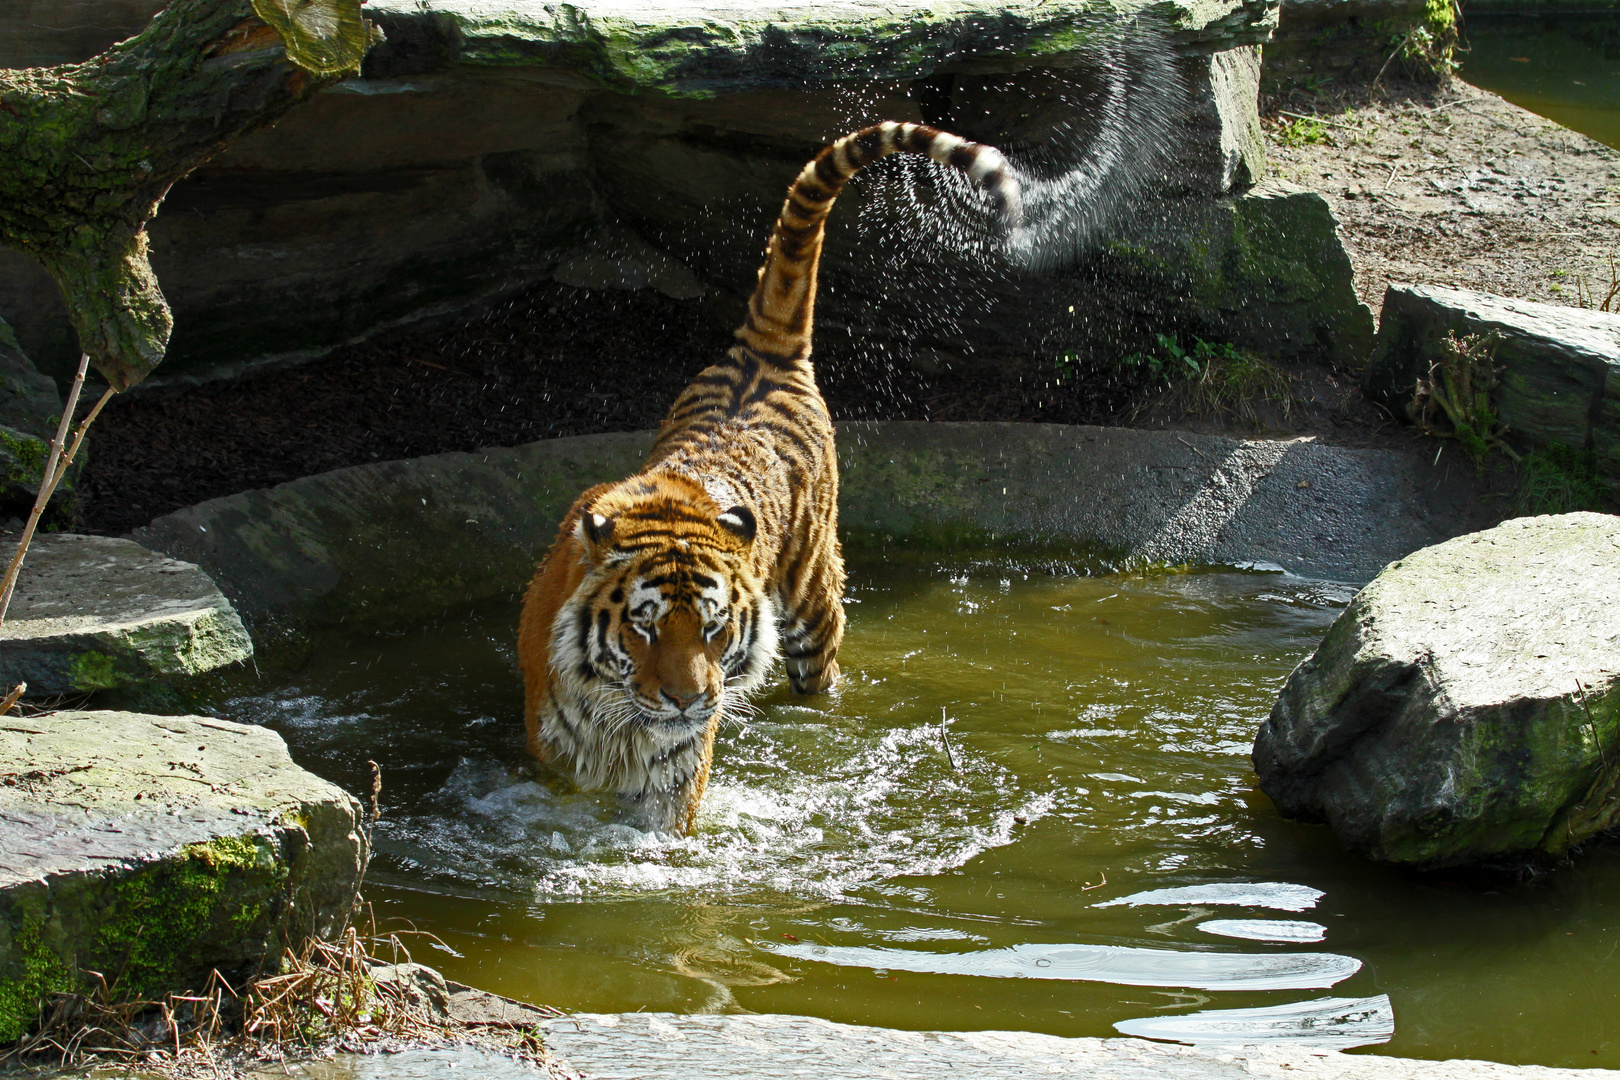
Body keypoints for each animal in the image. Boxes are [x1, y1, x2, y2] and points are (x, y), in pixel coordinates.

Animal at [518, 124, 1023, 835]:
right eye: (644, 626)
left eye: (713, 626)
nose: (689, 701)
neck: (612, 714)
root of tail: (765, 349)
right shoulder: (551, 759)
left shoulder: (670, 780)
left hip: (812, 601)